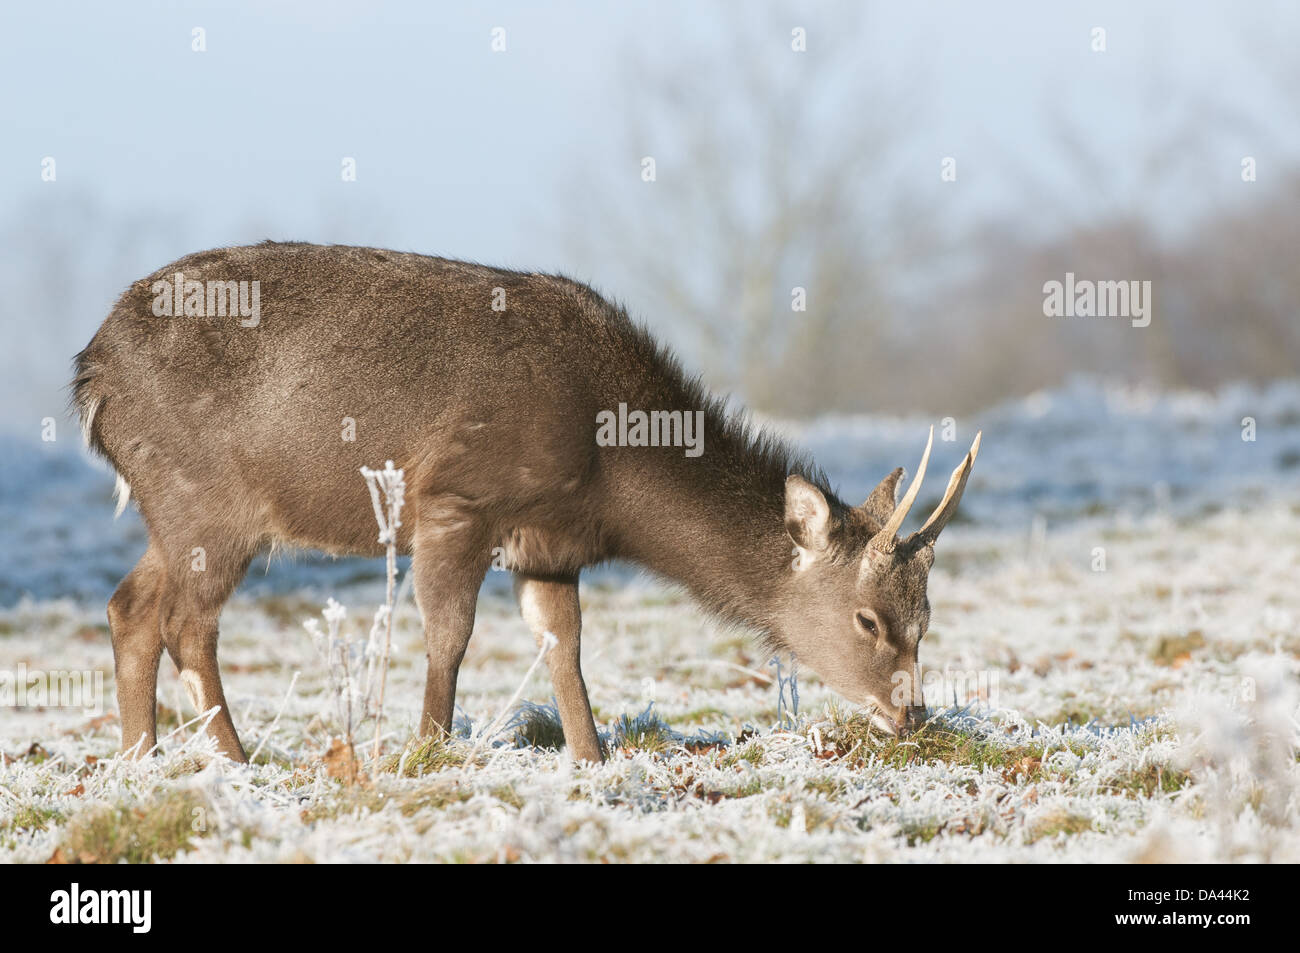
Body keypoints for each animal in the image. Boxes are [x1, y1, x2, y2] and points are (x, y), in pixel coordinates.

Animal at [72, 242, 980, 764]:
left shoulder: (551, 545)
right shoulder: (455, 498)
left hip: (174, 505)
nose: (913, 714)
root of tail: (91, 373)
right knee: (186, 620)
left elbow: (562, 648)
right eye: (869, 619)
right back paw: (235, 759)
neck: (610, 465)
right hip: (208, 496)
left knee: (129, 605)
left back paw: (141, 760)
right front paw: (430, 752)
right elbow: (449, 636)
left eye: (926, 614)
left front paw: (592, 757)